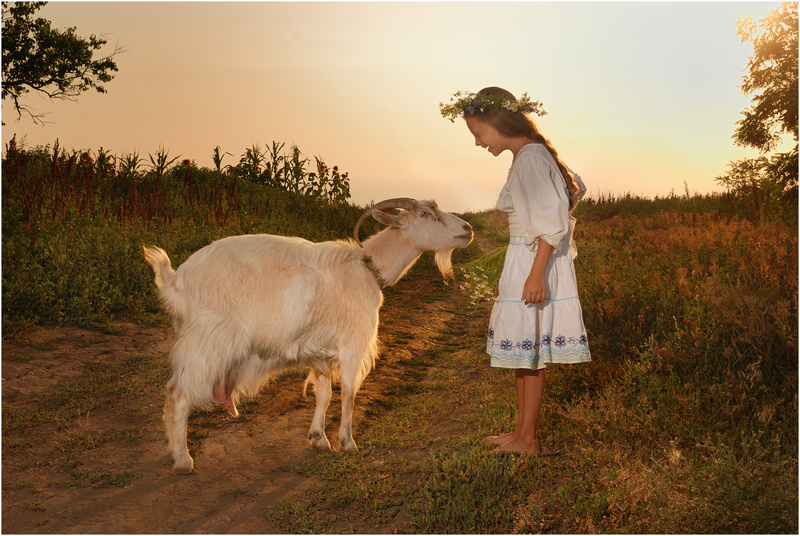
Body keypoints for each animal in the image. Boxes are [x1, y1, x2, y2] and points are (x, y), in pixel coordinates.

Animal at [143, 200, 472, 474]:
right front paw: (348, 443)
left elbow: (324, 394)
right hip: (209, 343)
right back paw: (183, 460)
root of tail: (176, 281)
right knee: (178, 393)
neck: (367, 269)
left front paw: (319, 439)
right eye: (425, 214)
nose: (467, 229)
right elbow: (349, 394)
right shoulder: (352, 346)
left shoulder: (320, 353)